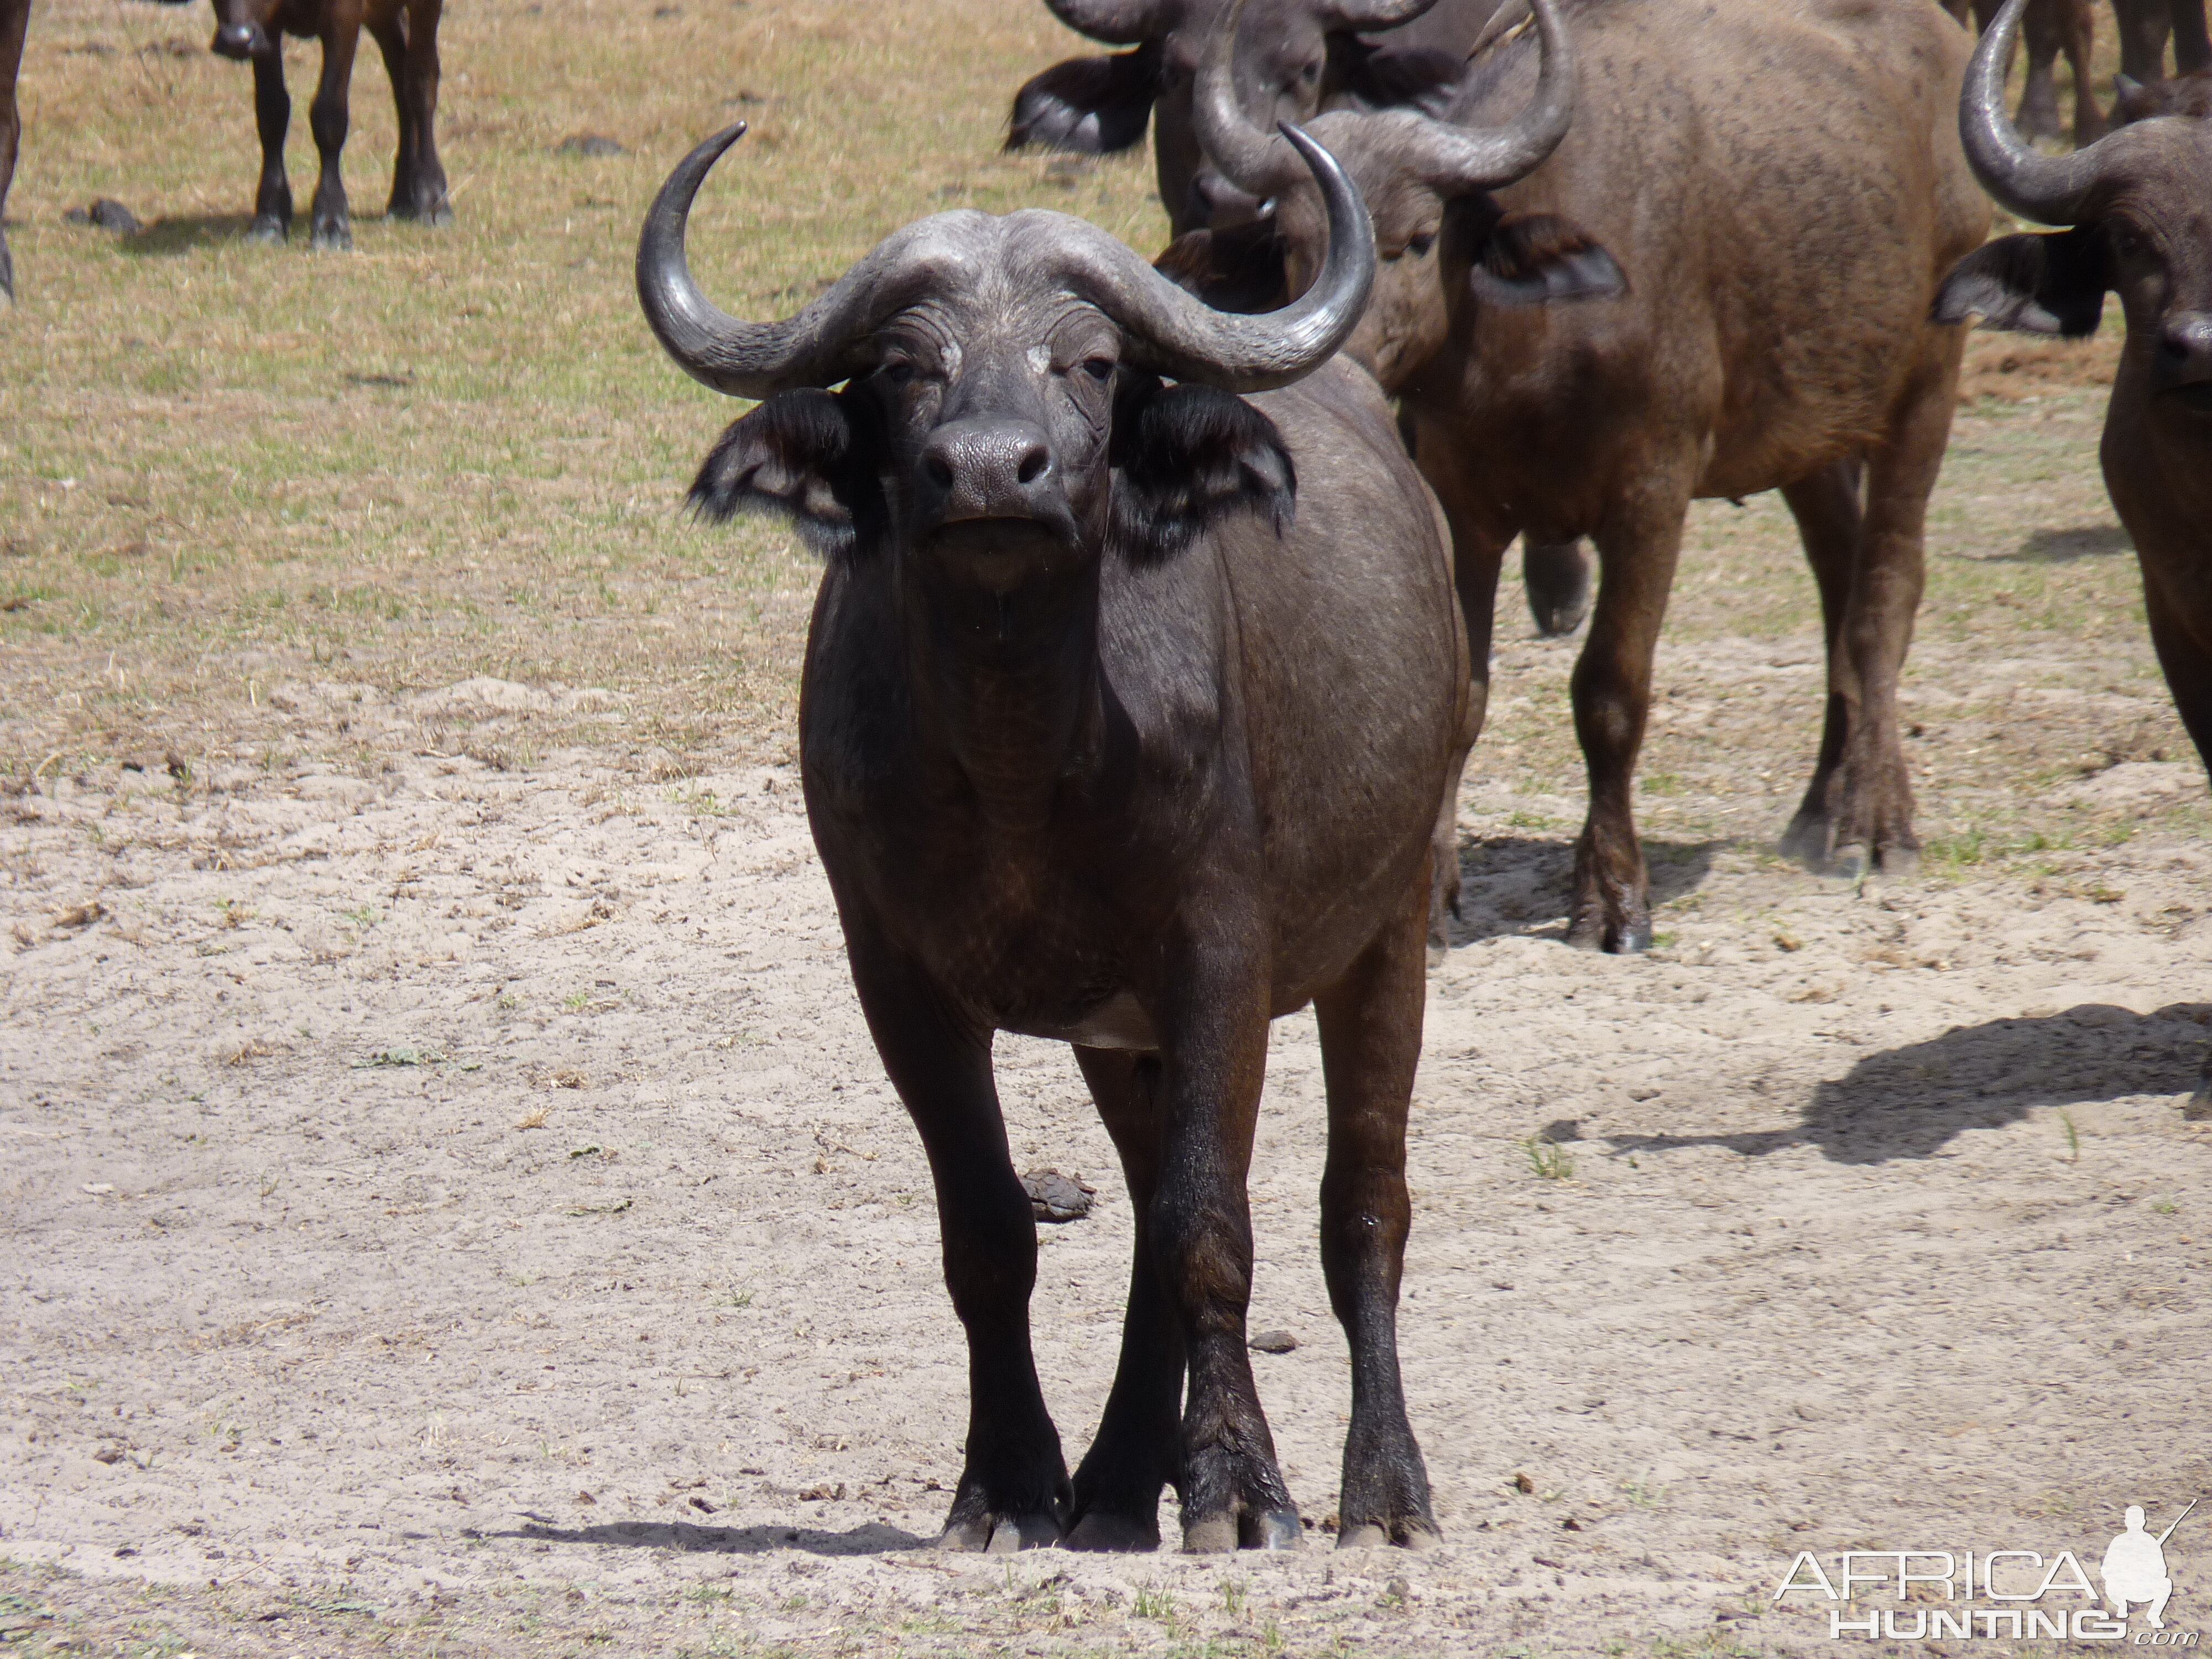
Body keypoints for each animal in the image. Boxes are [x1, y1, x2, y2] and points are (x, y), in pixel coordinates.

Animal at [208, 0, 449, 250]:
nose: (236, 40)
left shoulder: (343, 16)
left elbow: (329, 116)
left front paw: (331, 223)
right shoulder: (266, 29)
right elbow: (272, 115)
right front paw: (268, 220)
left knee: (421, 81)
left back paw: (433, 198)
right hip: (384, 16)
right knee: (400, 79)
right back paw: (402, 201)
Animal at [641, 123, 1469, 1557]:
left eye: (1086, 361)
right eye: (906, 367)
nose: (988, 470)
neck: (1021, 760)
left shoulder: (1218, 962)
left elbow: (1212, 1228)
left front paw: (1240, 1489)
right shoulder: (898, 981)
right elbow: (991, 1235)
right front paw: (1009, 1484)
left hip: (1393, 924)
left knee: (1361, 1206)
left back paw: (1381, 1490)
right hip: (1116, 1037)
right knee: (1141, 1221)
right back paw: (1119, 1480)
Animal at [1194, 0, 1991, 947]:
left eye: (1418, 239)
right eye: (1291, 240)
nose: (1329, 354)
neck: (1528, 352)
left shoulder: (1652, 498)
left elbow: (1611, 692)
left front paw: (1611, 897)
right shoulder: (1463, 506)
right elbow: (1463, 693)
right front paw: (1435, 892)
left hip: (1926, 382)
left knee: (1884, 595)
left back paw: (1875, 824)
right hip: (1811, 428)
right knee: (1839, 585)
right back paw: (1817, 811)